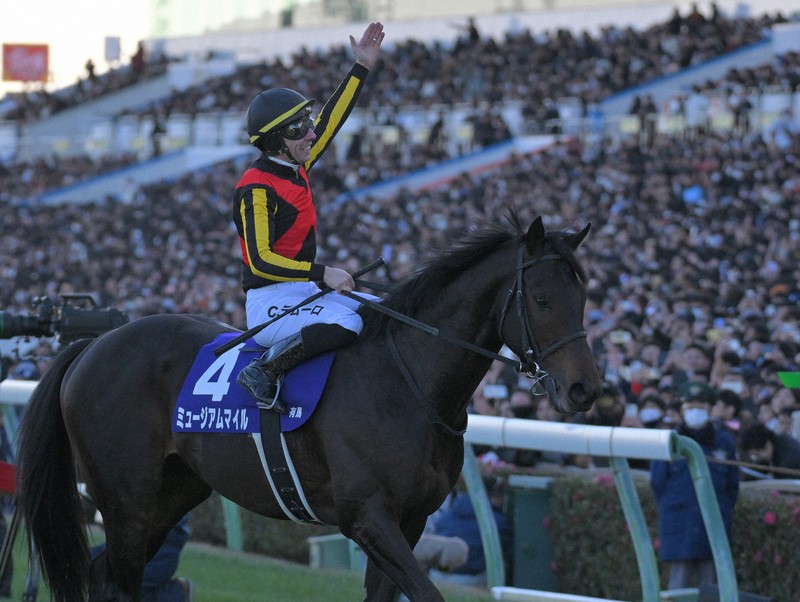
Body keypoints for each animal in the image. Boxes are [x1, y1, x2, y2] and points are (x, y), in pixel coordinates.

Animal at [16, 213, 602, 602]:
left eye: (583, 297)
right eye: (541, 300)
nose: (584, 390)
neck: (409, 381)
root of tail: (92, 345)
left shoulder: (410, 520)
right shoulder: (366, 517)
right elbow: (428, 593)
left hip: (173, 491)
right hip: (125, 499)